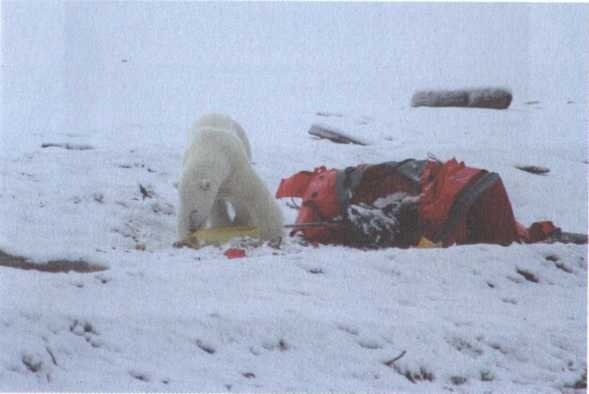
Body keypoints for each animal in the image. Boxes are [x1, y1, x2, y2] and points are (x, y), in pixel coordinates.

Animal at [176, 113, 284, 243]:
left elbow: (254, 194)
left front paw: (272, 232)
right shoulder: (217, 187)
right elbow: (217, 207)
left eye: (194, 209)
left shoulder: (235, 167)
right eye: (183, 208)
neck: (210, 147)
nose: (192, 228)